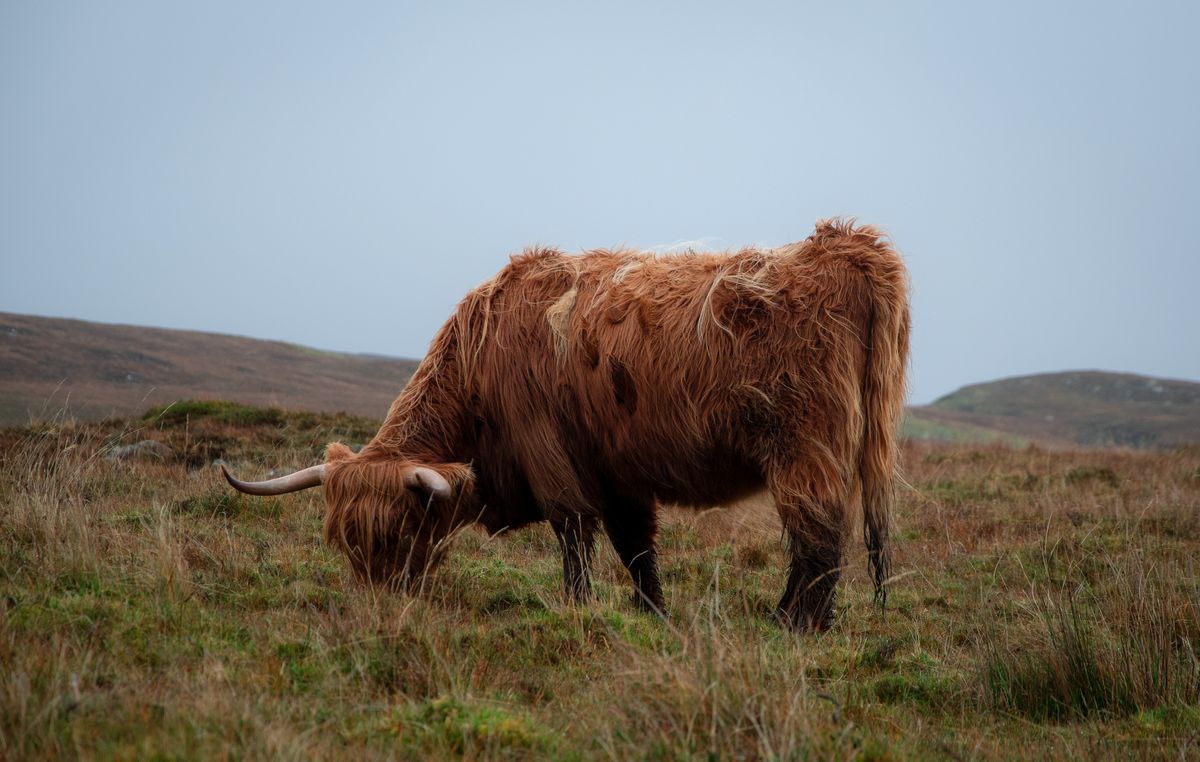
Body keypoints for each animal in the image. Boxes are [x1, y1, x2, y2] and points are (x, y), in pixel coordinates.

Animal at [223, 219, 910, 631]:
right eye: (343, 540)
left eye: (394, 534)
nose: (374, 614)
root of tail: (845, 245)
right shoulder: (619, 471)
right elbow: (638, 549)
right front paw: (652, 615)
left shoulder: (550, 455)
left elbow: (575, 537)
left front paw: (580, 610)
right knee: (819, 541)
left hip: (804, 449)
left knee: (818, 541)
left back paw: (793, 626)